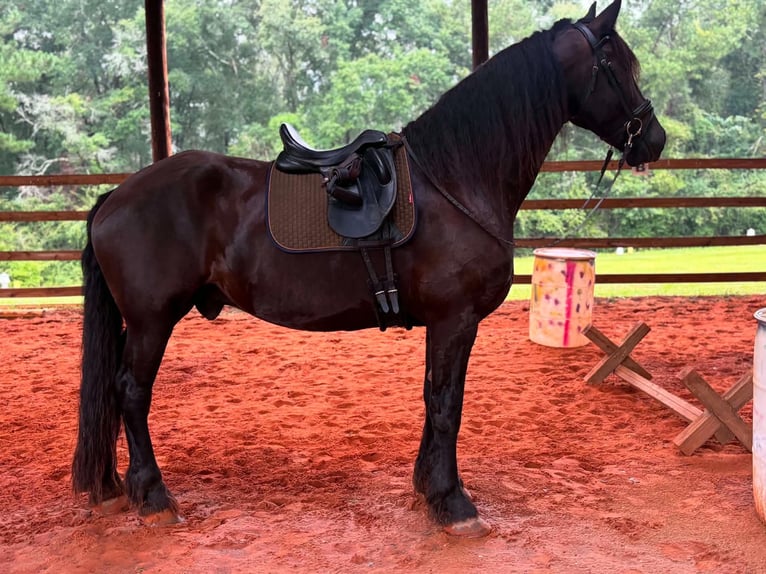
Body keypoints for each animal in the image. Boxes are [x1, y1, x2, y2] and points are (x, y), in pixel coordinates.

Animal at [72, 0, 665, 537]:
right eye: (620, 65)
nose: (655, 138)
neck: (455, 179)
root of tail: (116, 197)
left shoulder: (444, 324)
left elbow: (433, 397)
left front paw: (428, 488)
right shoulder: (456, 320)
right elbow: (447, 403)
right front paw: (453, 503)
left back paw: (122, 488)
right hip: (151, 321)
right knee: (131, 392)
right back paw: (153, 497)